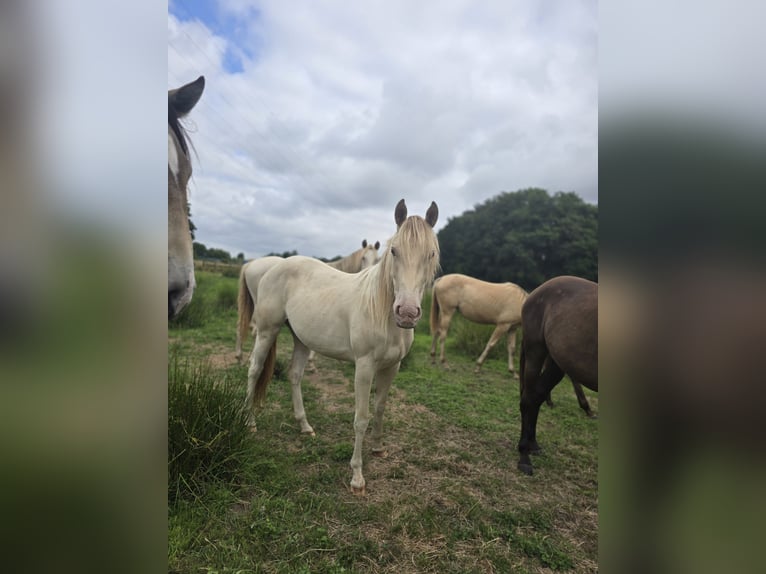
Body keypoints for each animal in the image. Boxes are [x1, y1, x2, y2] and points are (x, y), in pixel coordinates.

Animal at [517, 276, 598, 475]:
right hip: (536, 352)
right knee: (527, 400)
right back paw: (524, 456)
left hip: (557, 362)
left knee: (537, 397)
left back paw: (533, 445)